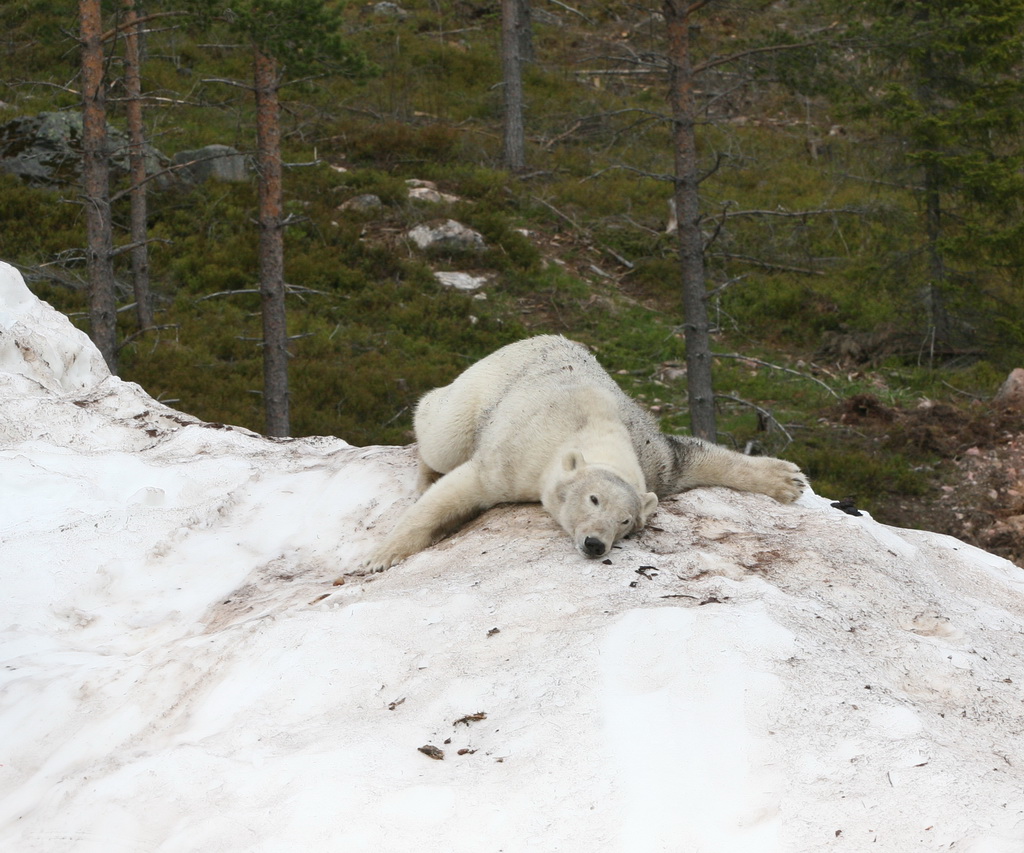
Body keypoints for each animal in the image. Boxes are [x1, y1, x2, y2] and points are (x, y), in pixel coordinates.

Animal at [362, 333, 806, 573]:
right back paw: (425, 474)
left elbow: (694, 457)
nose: (595, 544)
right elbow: (464, 488)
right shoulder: (516, 459)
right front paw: (381, 556)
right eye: (593, 499)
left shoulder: (651, 454)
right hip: (480, 388)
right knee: (440, 431)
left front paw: (789, 480)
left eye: (626, 521)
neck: (597, 430)